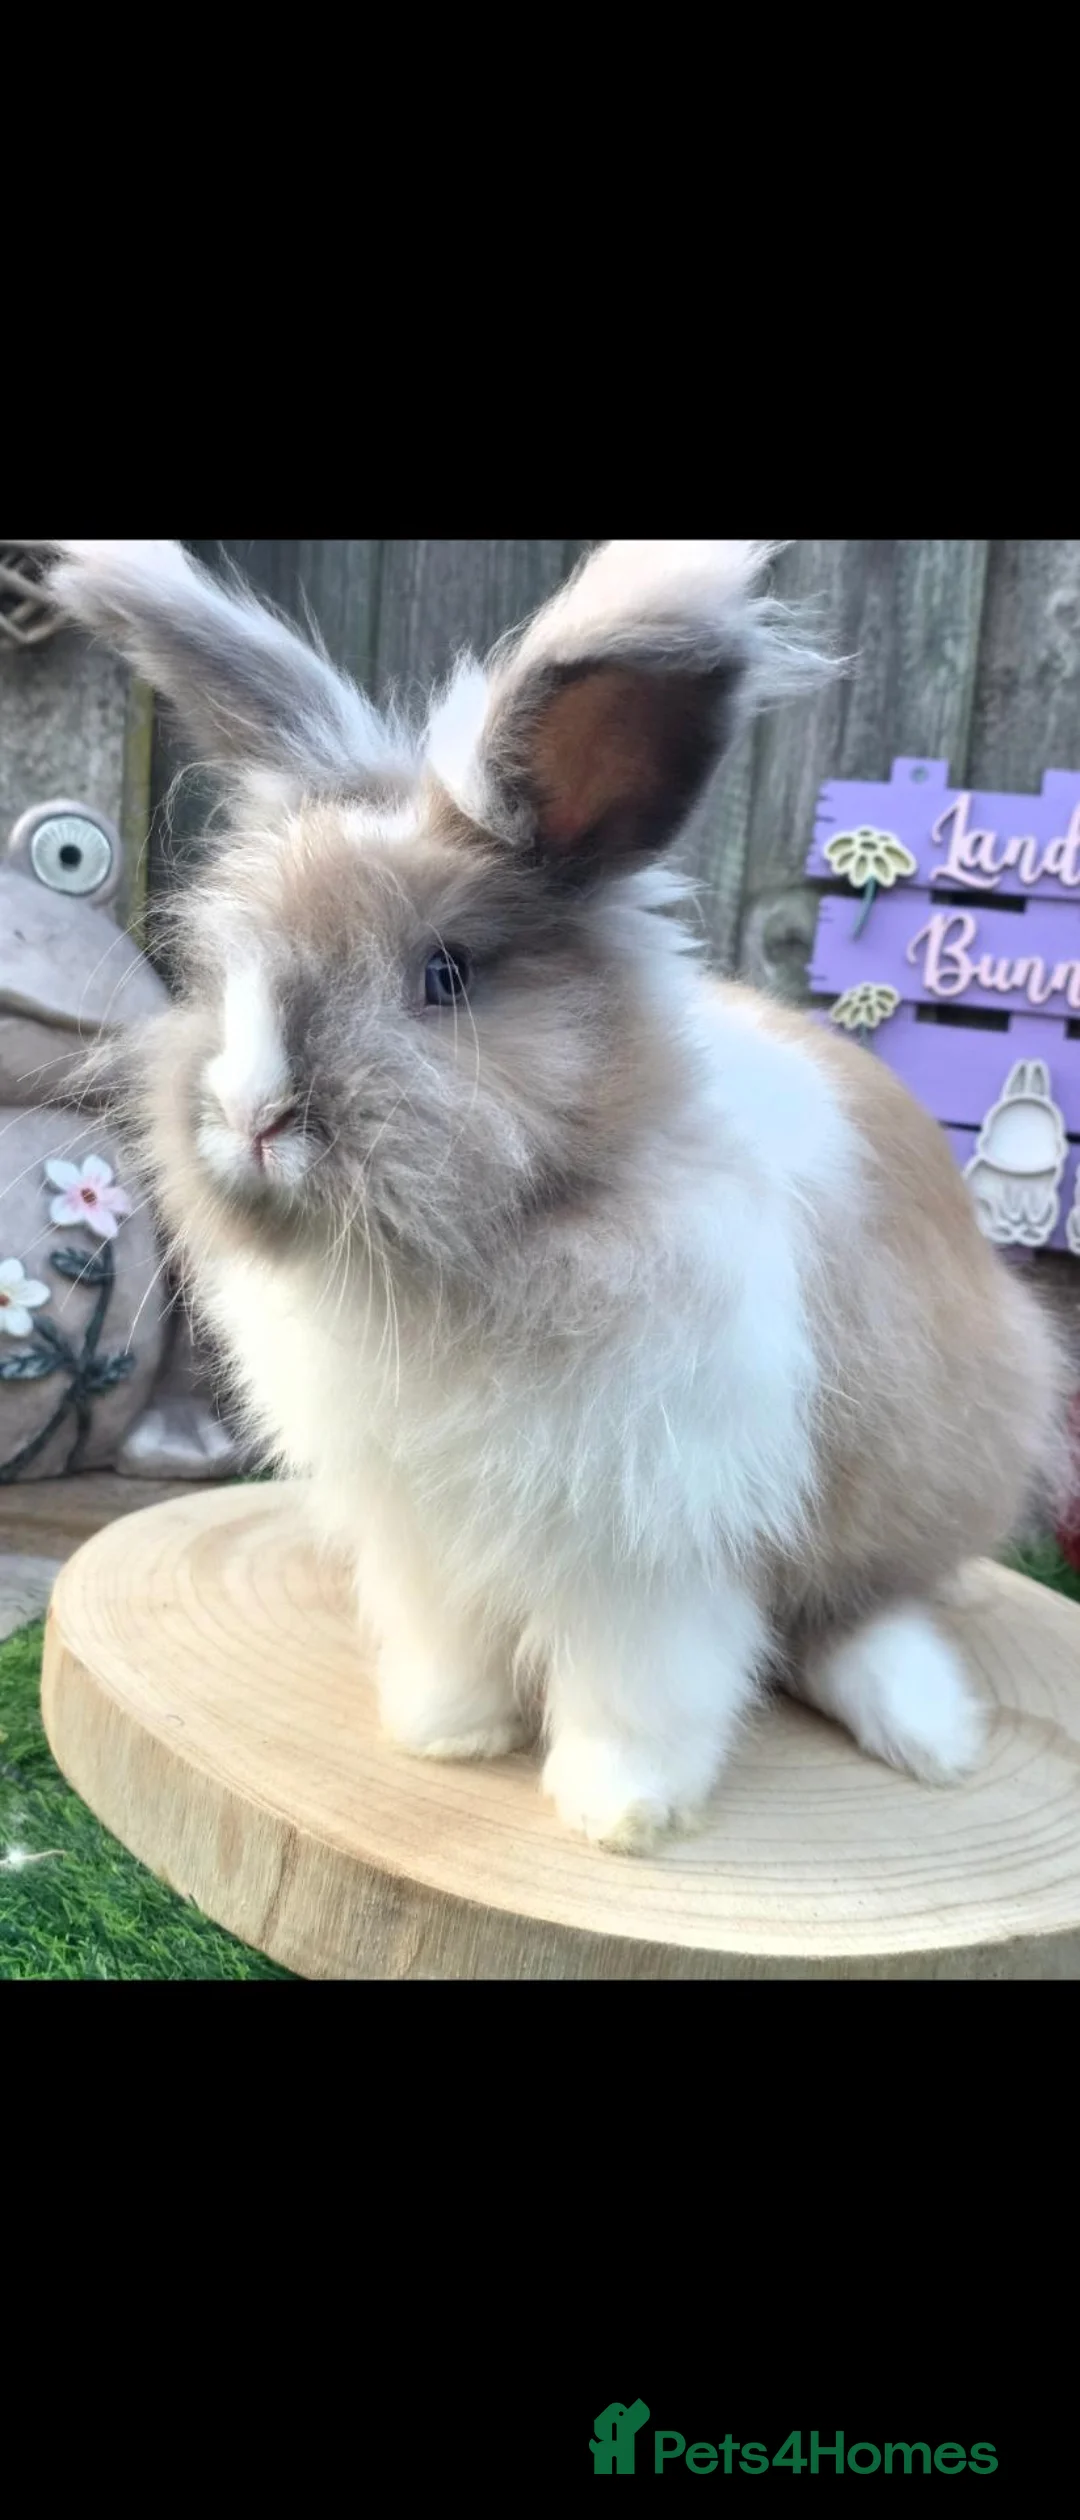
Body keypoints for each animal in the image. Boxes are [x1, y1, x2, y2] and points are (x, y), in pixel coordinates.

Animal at [46, 538, 1071, 1852]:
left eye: (444, 974)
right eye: (228, 973)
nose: (252, 1114)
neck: (488, 1253)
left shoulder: (657, 1549)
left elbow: (643, 1686)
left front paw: (619, 1812)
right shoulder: (426, 1534)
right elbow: (452, 1643)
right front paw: (442, 1735)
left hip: (929, 1470)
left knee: (858, 1609)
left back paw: (927, 1731)